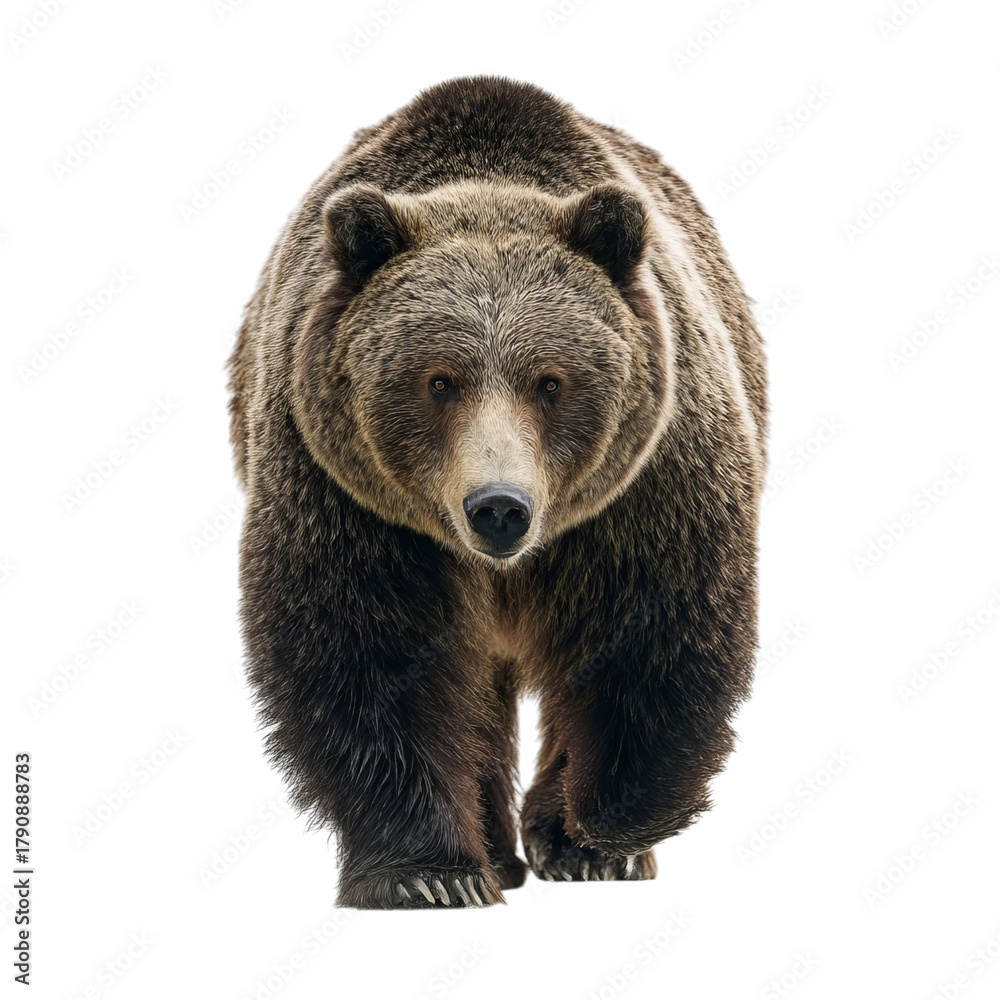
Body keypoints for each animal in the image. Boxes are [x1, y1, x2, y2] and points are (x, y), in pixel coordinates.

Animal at [228, 76, 766, 909]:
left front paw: (592, 839)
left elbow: (646, 641)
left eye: (551, 381)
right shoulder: (348, 495)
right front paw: (427, 873)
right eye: (438, 380)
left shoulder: (649, 481)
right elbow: (367, 652)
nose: (499, 507)